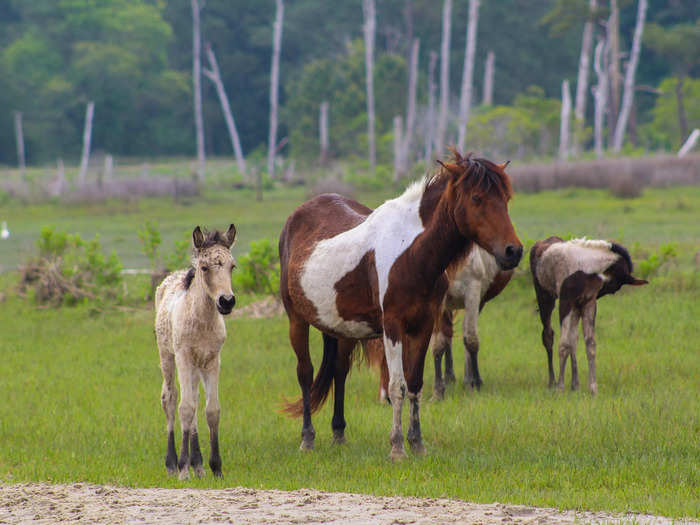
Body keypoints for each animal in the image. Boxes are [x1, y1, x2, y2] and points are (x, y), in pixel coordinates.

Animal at [154, 223, 237, 476]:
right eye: (204, 267)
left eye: (232, 266)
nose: (227, 301)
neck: (202, 320)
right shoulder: (183, 357)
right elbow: (185, 408)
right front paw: (183, 468)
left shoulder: (212, 360)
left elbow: (211, 410)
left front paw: (216, 467)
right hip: (167, 356)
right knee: (170, 399)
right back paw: (172, 463)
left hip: (197, 366)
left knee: (196, 400)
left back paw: (198, 463)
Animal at [278, 149, 520, 456]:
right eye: (477, 198)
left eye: (505, 198)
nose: (513, 251)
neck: (412, 252)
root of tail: (297, 215)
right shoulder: (392, 326)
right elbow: (397, 386)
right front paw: (397, 446)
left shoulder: (424, 324)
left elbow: (415, 384)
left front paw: (417, 443)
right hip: (296, 319)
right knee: (306, 373)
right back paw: (307, 438)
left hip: (342, 328)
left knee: (339, 371)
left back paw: (339, 434)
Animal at [532, 237, 652, 392]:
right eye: (614, 288)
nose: (600, 293)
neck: (586, 271)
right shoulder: (565, 302)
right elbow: (563, 344)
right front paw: (560, 387)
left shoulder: (588, 303)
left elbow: (590, 344)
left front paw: (593, 388)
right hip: (546, 298)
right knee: (548, 336)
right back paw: (552, 382)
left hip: (576, 307)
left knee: (573, 340)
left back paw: (575, 384)